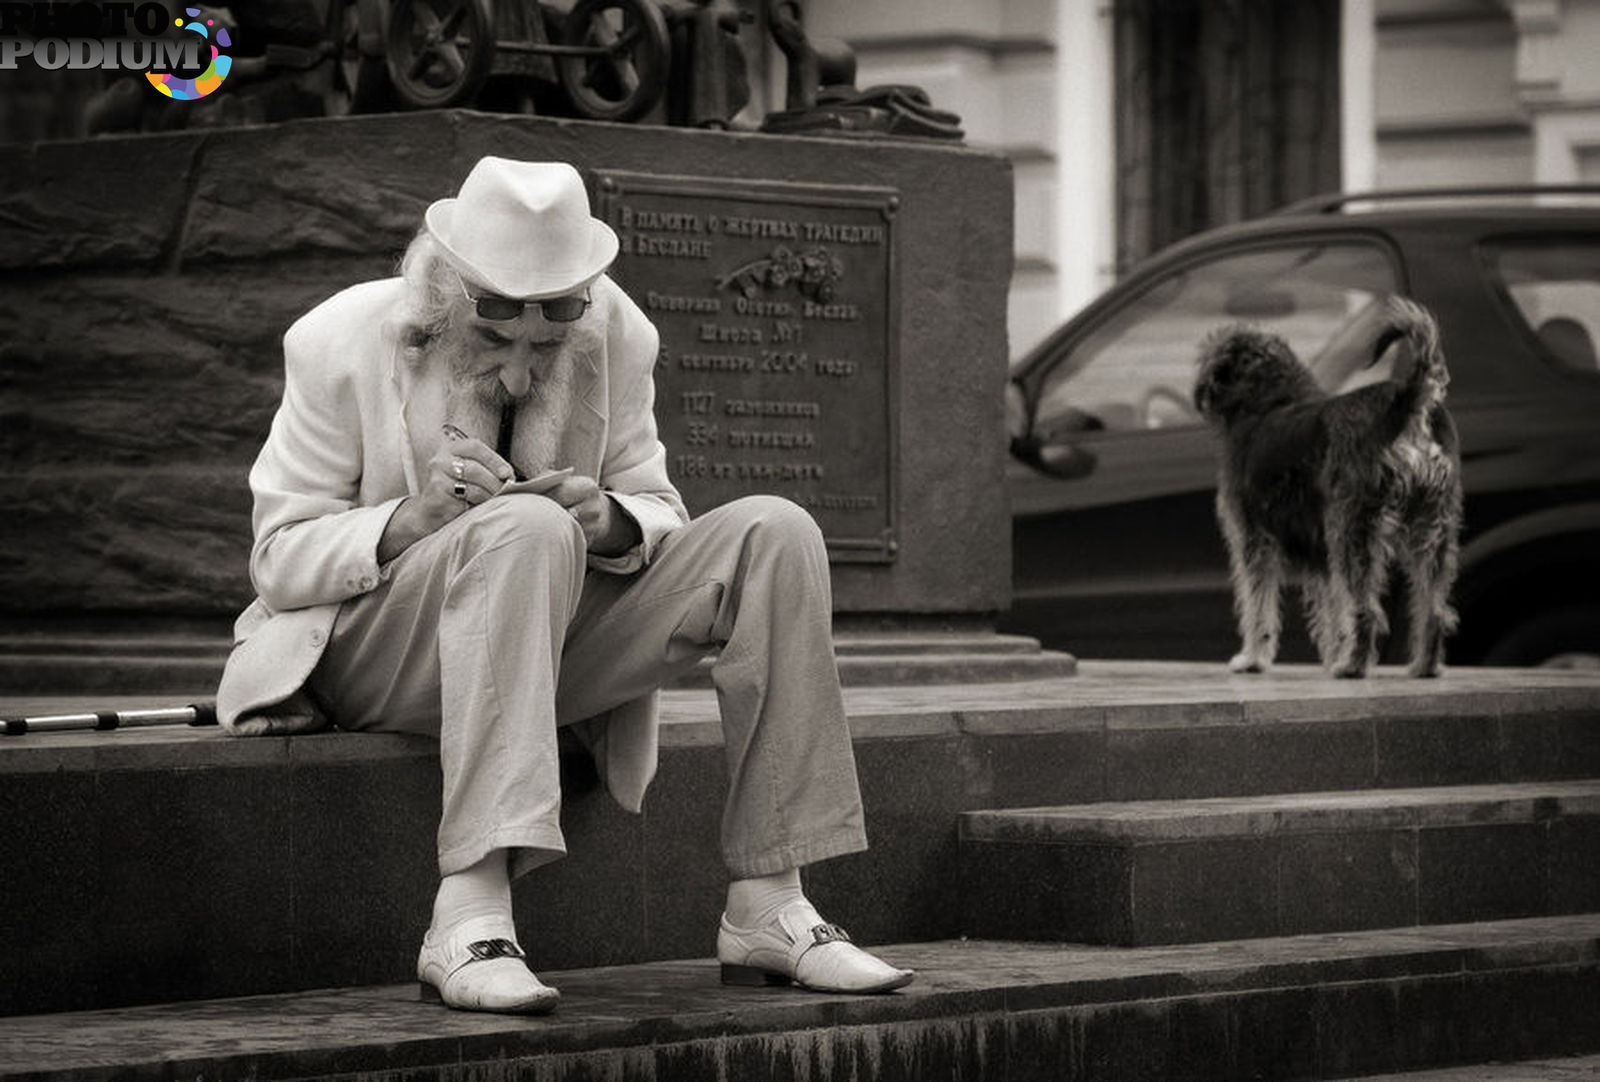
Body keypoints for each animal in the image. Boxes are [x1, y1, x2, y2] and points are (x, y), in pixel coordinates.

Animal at [1190, 296, 1465, 675]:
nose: (1200, 389)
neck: (1270, 402)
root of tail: (1407, 397)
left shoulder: (1253, 540)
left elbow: (1257, 605)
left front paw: (1253, 658)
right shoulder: (1320, 556)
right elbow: (1333, 614)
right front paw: (1334, 651)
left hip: (1351, 528)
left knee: (1367, 610)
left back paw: (1352, 666)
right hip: (1431, 526)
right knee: (1435, 607)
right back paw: (1423, 665)